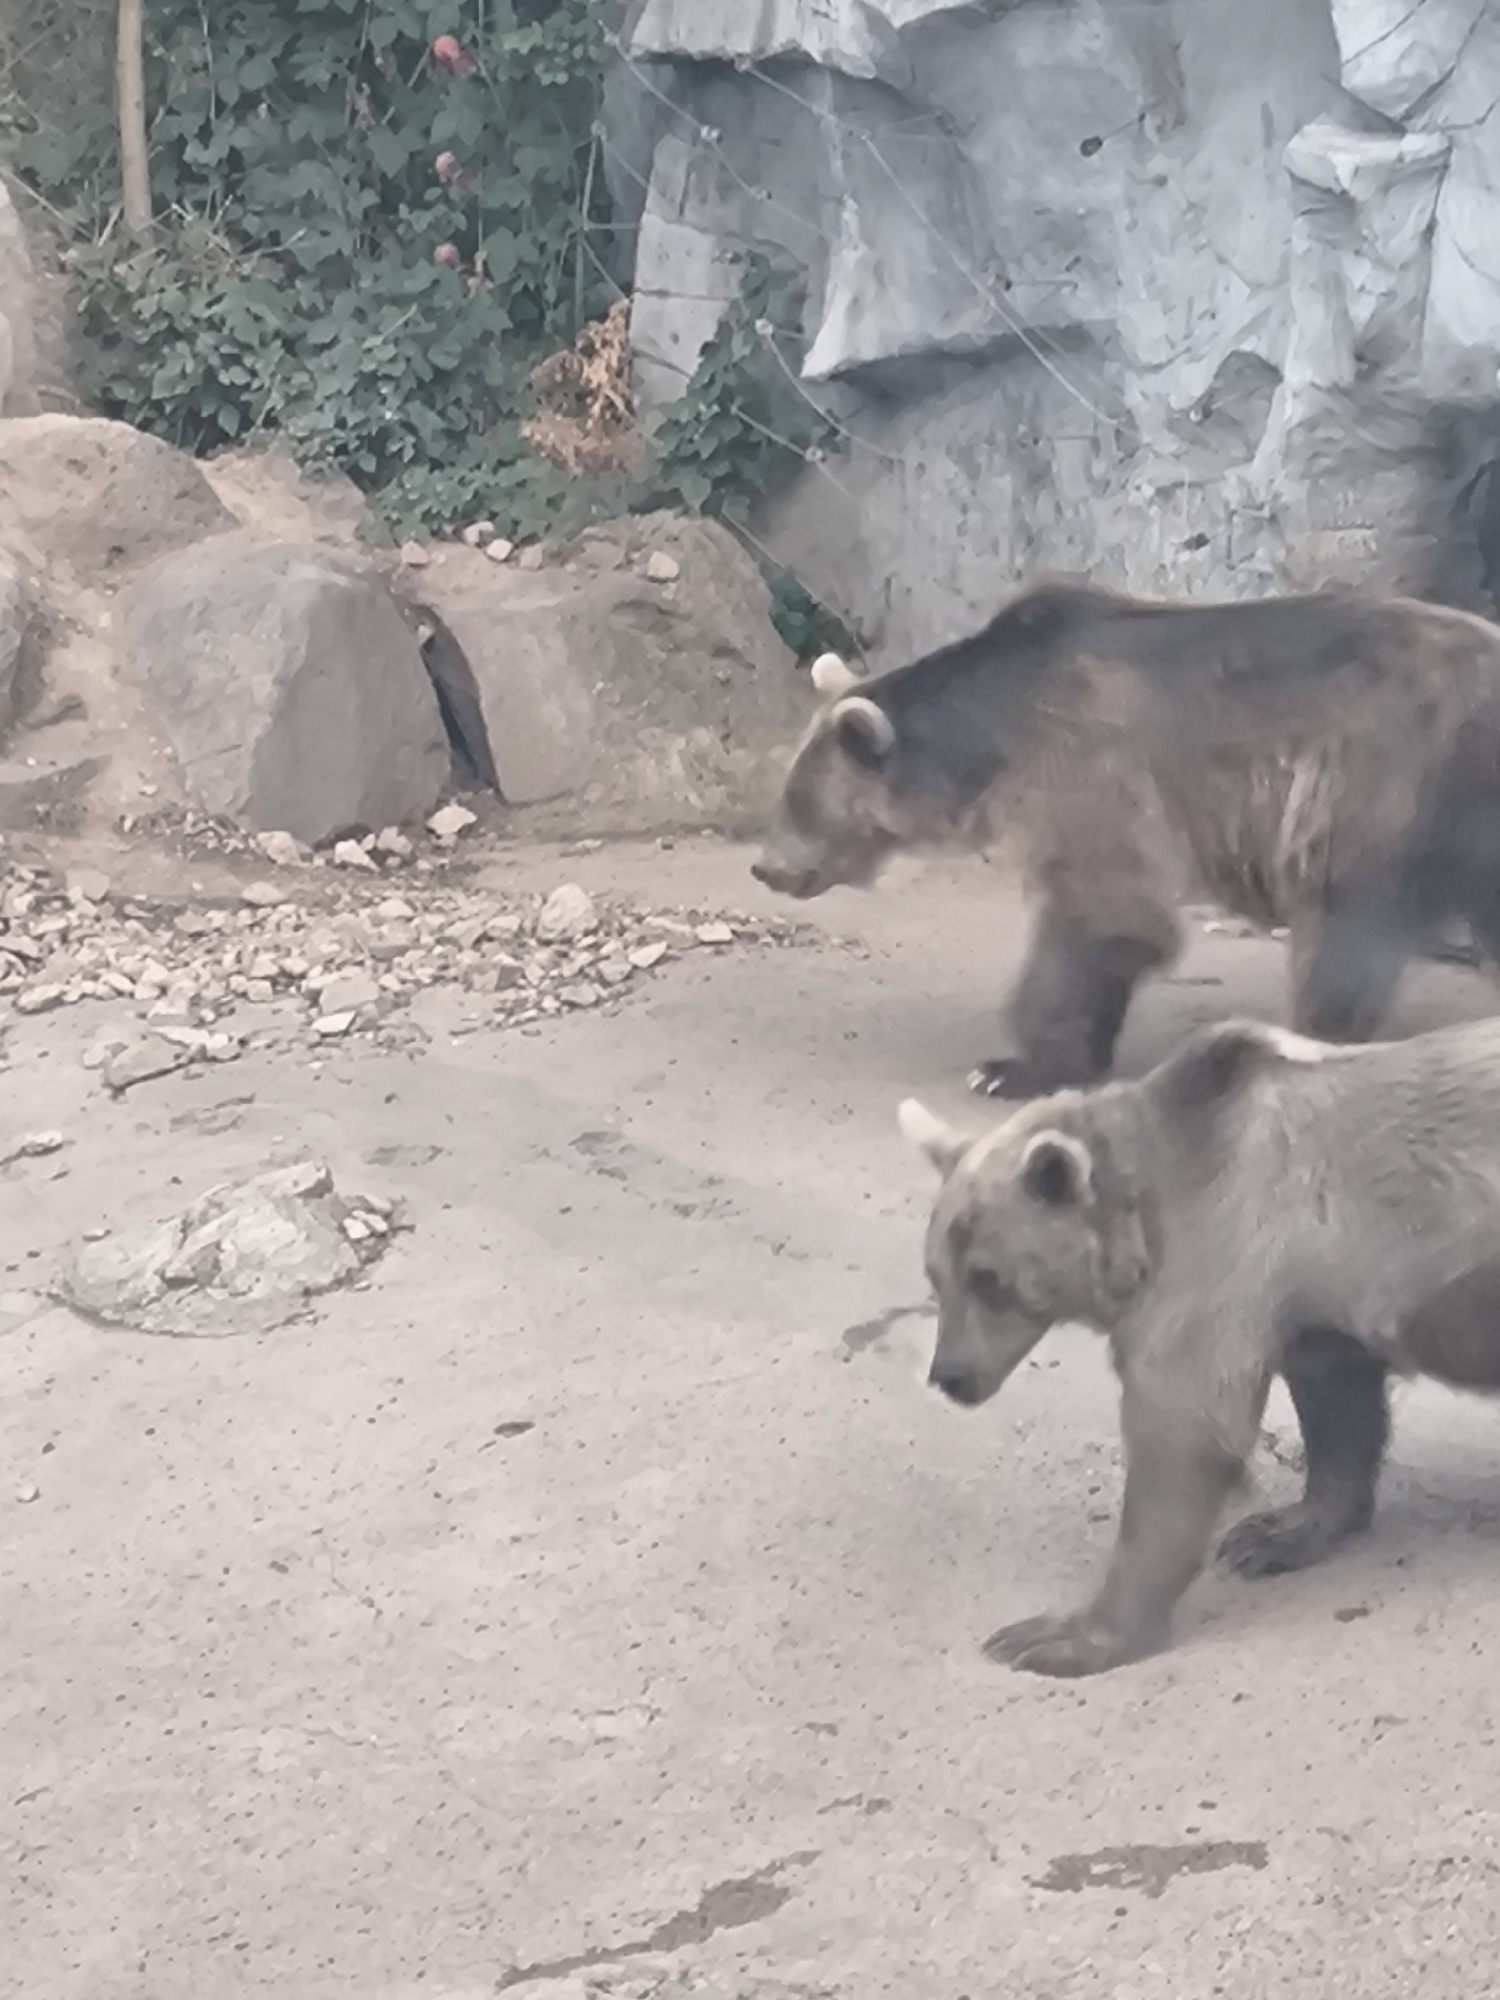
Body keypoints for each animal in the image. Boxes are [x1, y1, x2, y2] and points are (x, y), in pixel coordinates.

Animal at [750, 581, 1500, 1099]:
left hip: (1385, 776)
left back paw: (1310, 1036)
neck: (990, 740)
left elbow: (1101, 916)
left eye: (801, 802)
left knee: (1341, 921)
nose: (767, 868)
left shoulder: (1089, 770)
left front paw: (1011, 1067)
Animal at [898, 1012, 1500, 1678]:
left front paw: (1058, 1636)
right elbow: (1339, 1407)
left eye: (990, 1278)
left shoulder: (1220, 1255)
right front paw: (1275, 1532)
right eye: (937, 1276)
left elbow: (1182, 1436)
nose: (950, 1375)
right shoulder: (1310, 1292)